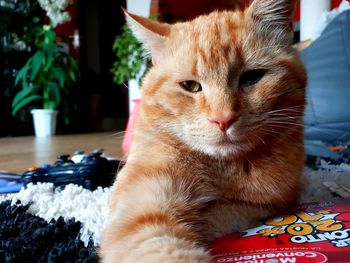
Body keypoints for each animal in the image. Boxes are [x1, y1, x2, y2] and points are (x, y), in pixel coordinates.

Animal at [100, 1, 304, 262]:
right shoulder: (142, 207)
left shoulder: (267, 204)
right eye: (190, 86)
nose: (223, 119)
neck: (219, 168)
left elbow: (219, 216)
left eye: (251, 77)